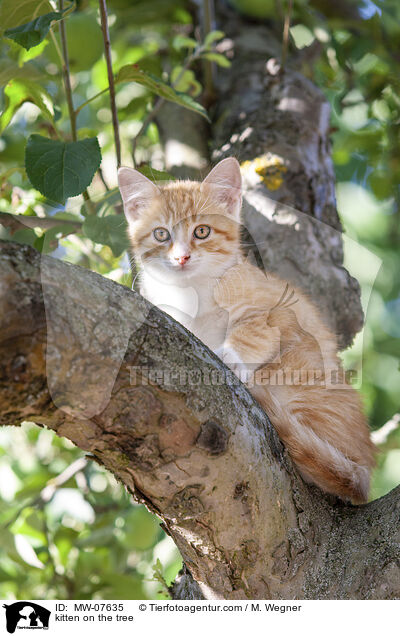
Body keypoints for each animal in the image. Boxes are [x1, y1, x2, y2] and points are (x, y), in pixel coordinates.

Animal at [118, 158, 376, 502]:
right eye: (161, 234)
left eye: (202, 231)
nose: (182, 257)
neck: (191, 292)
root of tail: (364, 471)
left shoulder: (277, 310)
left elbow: (253, 330)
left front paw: (231, 356)